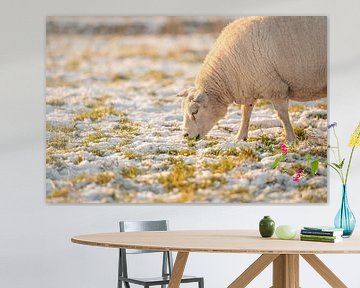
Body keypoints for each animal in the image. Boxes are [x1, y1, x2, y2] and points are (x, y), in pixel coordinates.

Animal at [179, 16, 328, 143]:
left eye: (194, 112)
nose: (185, 135)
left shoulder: (275, 88)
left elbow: (282, 116)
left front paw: (291, 139)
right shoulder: (249, 87)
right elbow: (246, 113)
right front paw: (240, 137)